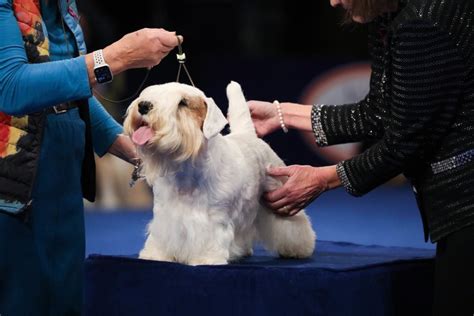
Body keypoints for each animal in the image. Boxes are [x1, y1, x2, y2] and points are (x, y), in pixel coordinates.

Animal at [123, 81, 314, 264]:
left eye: (183, 102)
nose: (143, 106)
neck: (186, 171)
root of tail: (248, 135)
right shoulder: (164, 215)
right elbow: (161, 236)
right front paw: (156, 254)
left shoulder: (214, 219)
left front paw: (206, 258)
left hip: (277, 195)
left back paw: (298, 249)